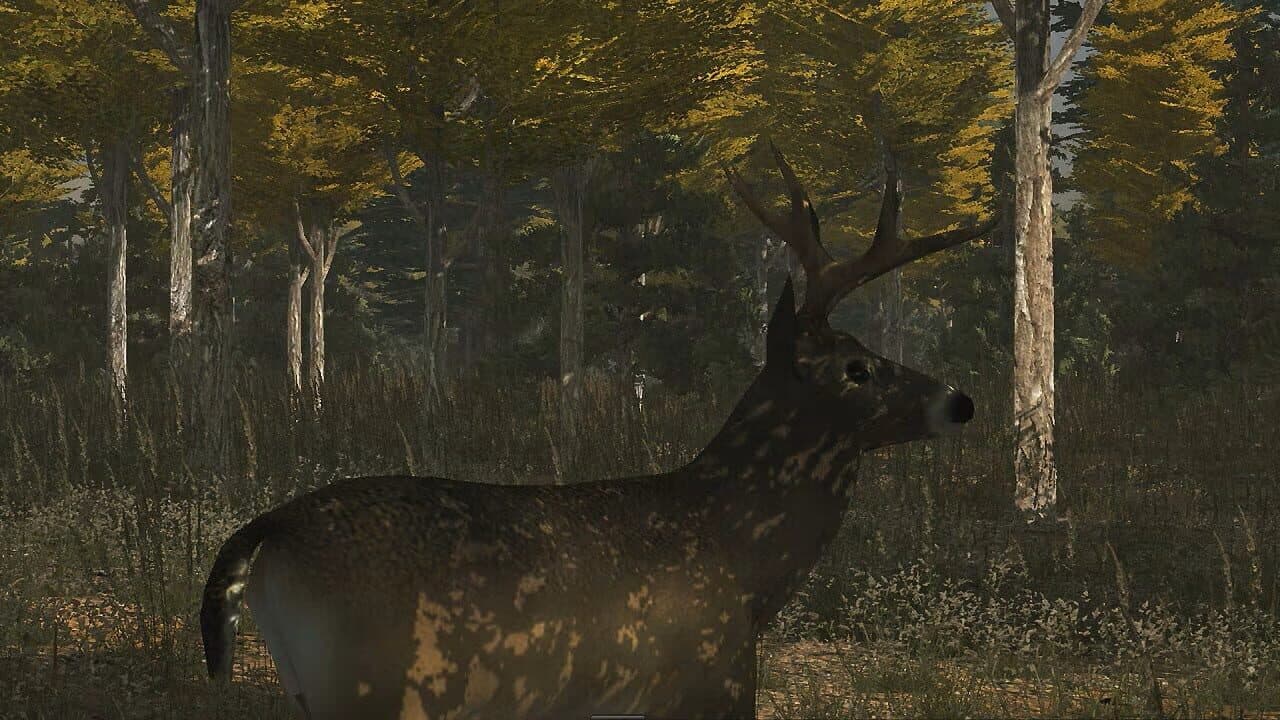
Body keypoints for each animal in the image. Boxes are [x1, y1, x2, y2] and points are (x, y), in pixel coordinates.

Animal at [200, 142, 995, 720]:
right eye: (857, 367)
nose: (959, 401)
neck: (742, 564)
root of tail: (265, 531)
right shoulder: (713, 683)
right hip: (375, 687)